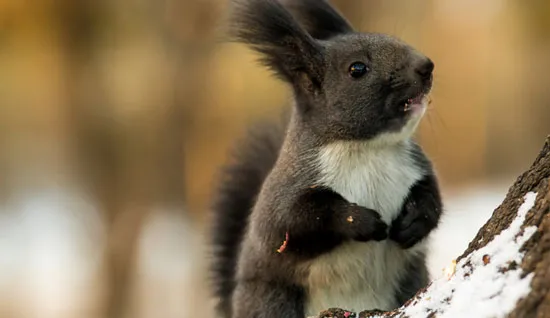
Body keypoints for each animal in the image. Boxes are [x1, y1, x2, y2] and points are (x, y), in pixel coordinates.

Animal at [209, 0, 446, 316]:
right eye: (357, 69)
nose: (425, 66)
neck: (368, 150)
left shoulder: (417, 166)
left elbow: (432, 197)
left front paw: (414, 222)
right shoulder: (286, 190)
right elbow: (292, 223)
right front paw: (360, 220)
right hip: (273, 300)